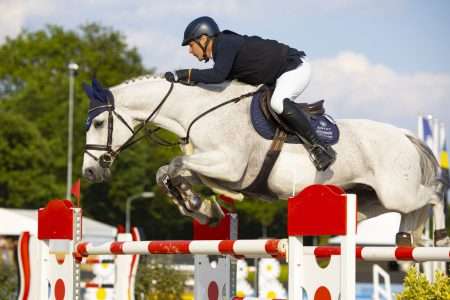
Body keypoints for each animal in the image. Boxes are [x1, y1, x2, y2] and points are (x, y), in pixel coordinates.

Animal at [81, 75, 446, 246]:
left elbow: (174, 165)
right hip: (371, 196)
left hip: (398, 191)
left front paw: (200, 205)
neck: (197, 110)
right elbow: (168, 172)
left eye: (98, 124)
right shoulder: (215, 166)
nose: (89, 171)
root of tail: (405, 135)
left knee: (433, 194)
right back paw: (403, 237)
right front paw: (201, 207)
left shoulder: (228, 166)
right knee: (395, 211)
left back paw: (439, 235)